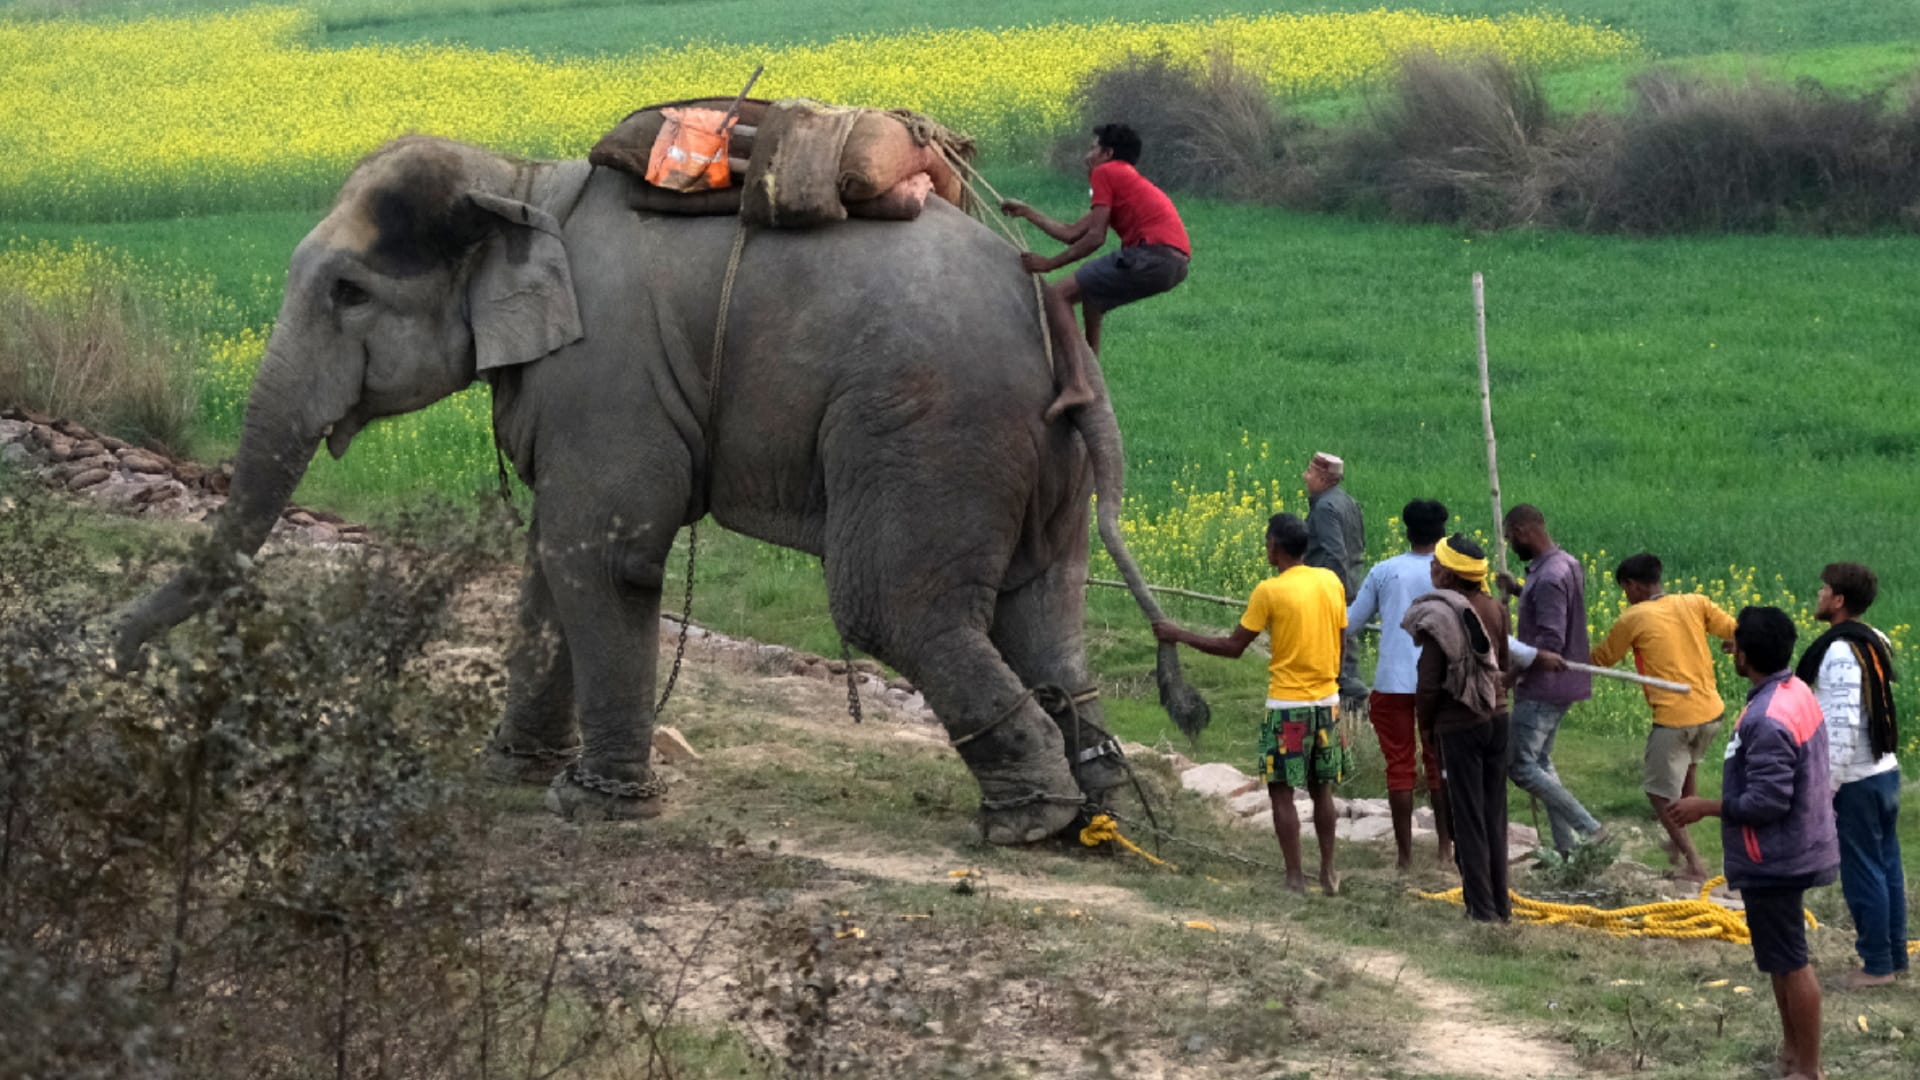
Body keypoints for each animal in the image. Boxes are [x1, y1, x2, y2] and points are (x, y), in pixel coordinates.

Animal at [115, 134, 1200, 844]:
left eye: (347, 292)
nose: (123, 664)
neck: (521, 183)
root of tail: (1052, 311)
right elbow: (553, 555)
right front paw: (512, 775)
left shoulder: (608, 370)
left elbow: (606, 556)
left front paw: (591, 810)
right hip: (1036, 455)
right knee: (1043, 613)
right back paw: (1095, 813)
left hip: (933, 426)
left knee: (891, 606)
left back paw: (1026, 825)